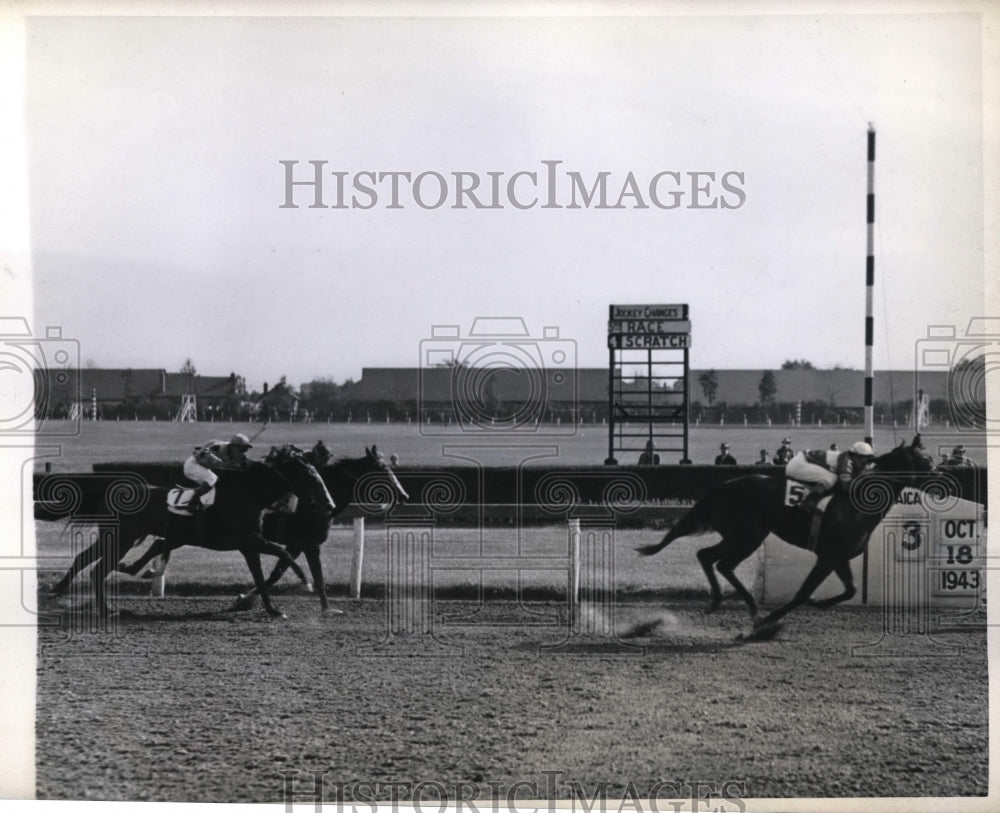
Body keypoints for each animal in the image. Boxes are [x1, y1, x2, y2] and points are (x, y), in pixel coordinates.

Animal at [640, 434, 936, 636]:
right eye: (925, 460)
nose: (941, 477)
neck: (857, 504)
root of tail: (721, 486)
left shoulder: (839, 557)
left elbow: (850, 590)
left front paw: (819, 603)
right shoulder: (827, 556)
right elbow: (803, 593)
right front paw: (770, 621)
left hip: (741, 535)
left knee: (709, 557)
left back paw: (723, 602)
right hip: (747, 536)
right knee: (720, 562)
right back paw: (747, 610)